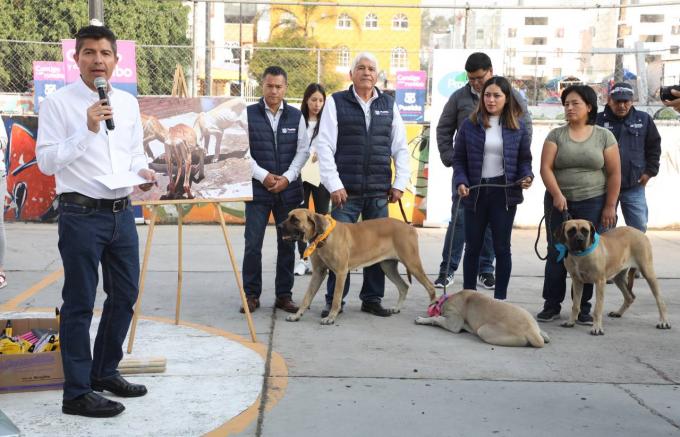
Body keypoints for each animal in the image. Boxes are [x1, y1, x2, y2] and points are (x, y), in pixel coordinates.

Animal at [278, 208, 438, 324]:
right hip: (388, 267)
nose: (279, 226)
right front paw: (297, 315)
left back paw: (432, 311)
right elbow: (307, 297)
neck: (323, 237)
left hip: (412, 263)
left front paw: (331, 317)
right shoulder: (319, 272)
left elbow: (336, 298)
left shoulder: (341, 272)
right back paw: (397, 308)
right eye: (288, 216)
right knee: (404, 286)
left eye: (295, 219)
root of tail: (410, 227)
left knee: (430, 287)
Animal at [414, 290, 548, 348]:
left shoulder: (453, 321)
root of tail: (531, 332)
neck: (445, 300)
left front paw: (423, 319)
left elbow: (438, 318)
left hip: (484, 331)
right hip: (527, 314)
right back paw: (544, 334)